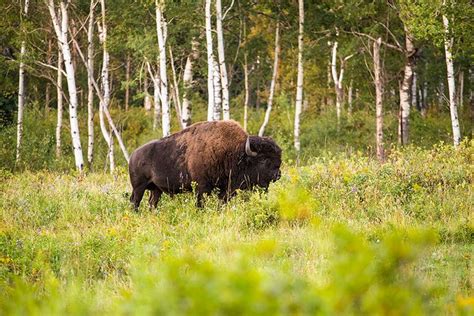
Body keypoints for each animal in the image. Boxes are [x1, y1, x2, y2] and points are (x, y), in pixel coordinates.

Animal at [129, 120, 282, 210]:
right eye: (263, 160)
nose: (277, 174)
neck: (235, 153)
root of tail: (133, 155)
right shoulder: (202, 187)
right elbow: (200, 203)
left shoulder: (225, 189)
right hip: (139, 187)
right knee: (135, 201)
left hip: (156, 189)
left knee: (152, 203)